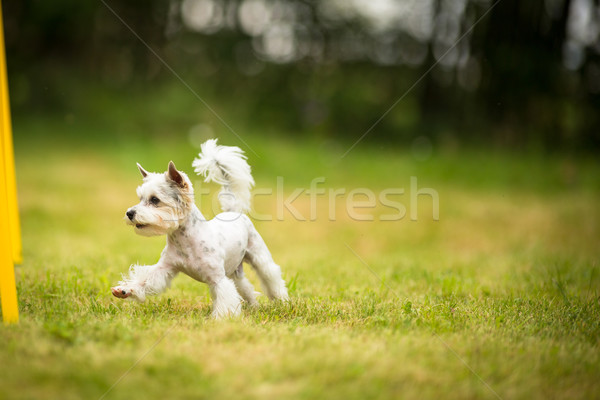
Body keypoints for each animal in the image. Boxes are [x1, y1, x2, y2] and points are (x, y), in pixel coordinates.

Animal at [114, 140, 290, 318]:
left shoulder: (219, 280)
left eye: (155, 199)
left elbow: (225, 299)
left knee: (272, 278)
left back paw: (282, 301)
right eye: (140, 199)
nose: (130, 213)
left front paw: (221, 318)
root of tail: (233, 211)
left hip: (259, 258)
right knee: (245, 287)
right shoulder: (165, 268)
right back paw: (253, 305)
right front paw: (125, 289)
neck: (185, 242)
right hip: (234, 271)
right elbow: (144, 279)